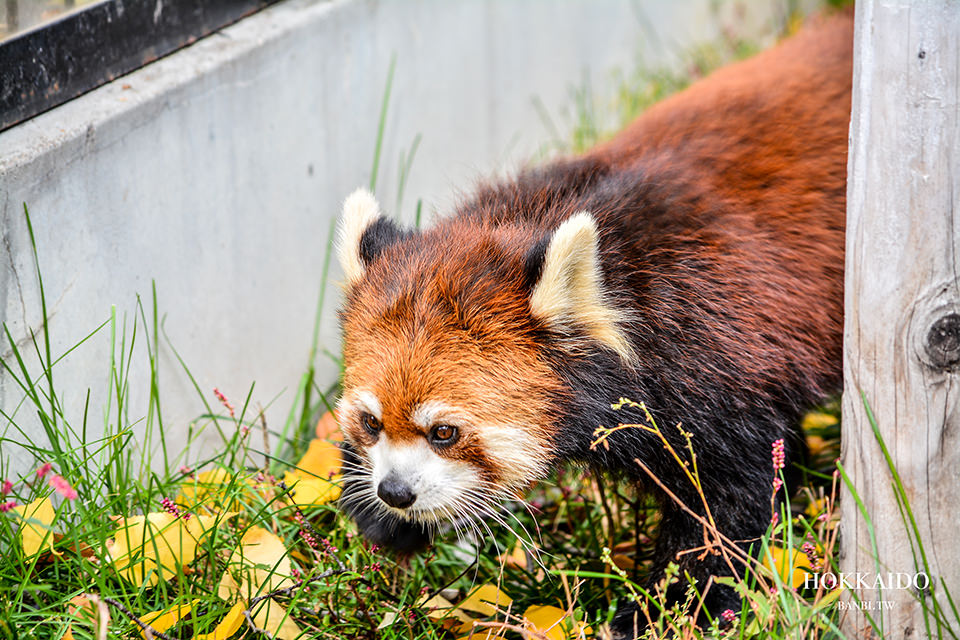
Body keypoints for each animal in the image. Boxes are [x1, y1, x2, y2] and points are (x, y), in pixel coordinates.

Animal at [334, 8, 852, 636]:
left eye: (444, 432)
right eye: (371, 422)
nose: (396, 491)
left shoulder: (717, 359)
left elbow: (727, 502)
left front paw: (665, 607)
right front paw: (379, 521)